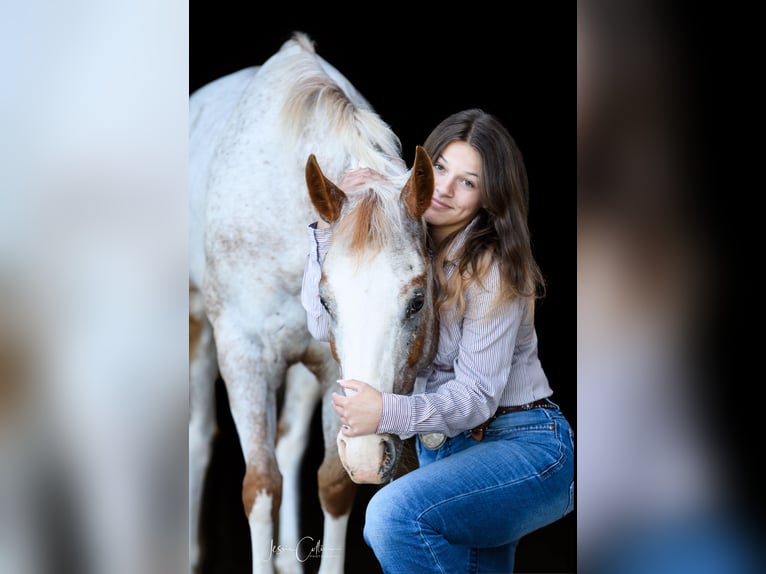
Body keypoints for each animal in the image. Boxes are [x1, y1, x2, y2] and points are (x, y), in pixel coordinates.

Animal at [189, 32, 438, 574]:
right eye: (325, 298)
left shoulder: (330, 370)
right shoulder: (243, 355)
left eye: (417, 300)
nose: (371, 451)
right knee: (198, 437)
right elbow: (261, 486)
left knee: (289, 442)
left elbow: (333, 483)